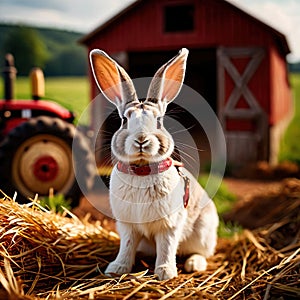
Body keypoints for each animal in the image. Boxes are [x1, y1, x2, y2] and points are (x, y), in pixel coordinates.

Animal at [89, 48, 218, 280]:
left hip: (203, 231)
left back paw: (194, 264)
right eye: (124, 120)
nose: (141, 139)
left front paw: (165, 272)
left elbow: (166, 247)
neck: (142, 169)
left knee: (202, 252)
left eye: (158, 121)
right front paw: (116, 269)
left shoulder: (169, 225)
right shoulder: (128, 226)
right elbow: (126, 246)